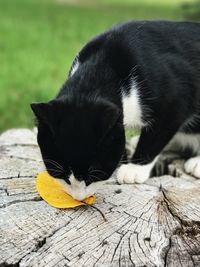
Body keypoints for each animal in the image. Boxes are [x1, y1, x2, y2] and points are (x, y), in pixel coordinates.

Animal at [30, 21, 200, 201]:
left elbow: (158, 134)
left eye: (94, 176)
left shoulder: (176, 98)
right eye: (61, 175)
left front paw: (134, 168)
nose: (79, 197)